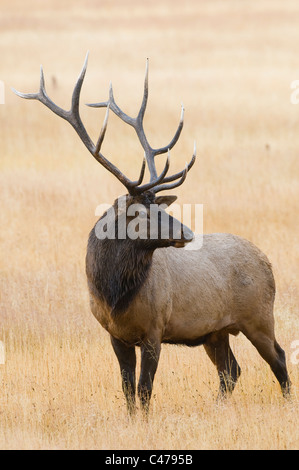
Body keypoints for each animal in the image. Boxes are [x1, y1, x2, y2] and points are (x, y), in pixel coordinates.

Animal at [13, 56, 290, 414]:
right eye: (142, 213)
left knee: (278, 358)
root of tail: (265, 258)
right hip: (215, 330)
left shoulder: (155, 328)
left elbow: (145, 388)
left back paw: (287, 403)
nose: (187, 232)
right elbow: (128, 388)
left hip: (259, 315)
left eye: (160, 206)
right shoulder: (115, 334)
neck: (114, 294)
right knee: (231, 370)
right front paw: (131, 419)